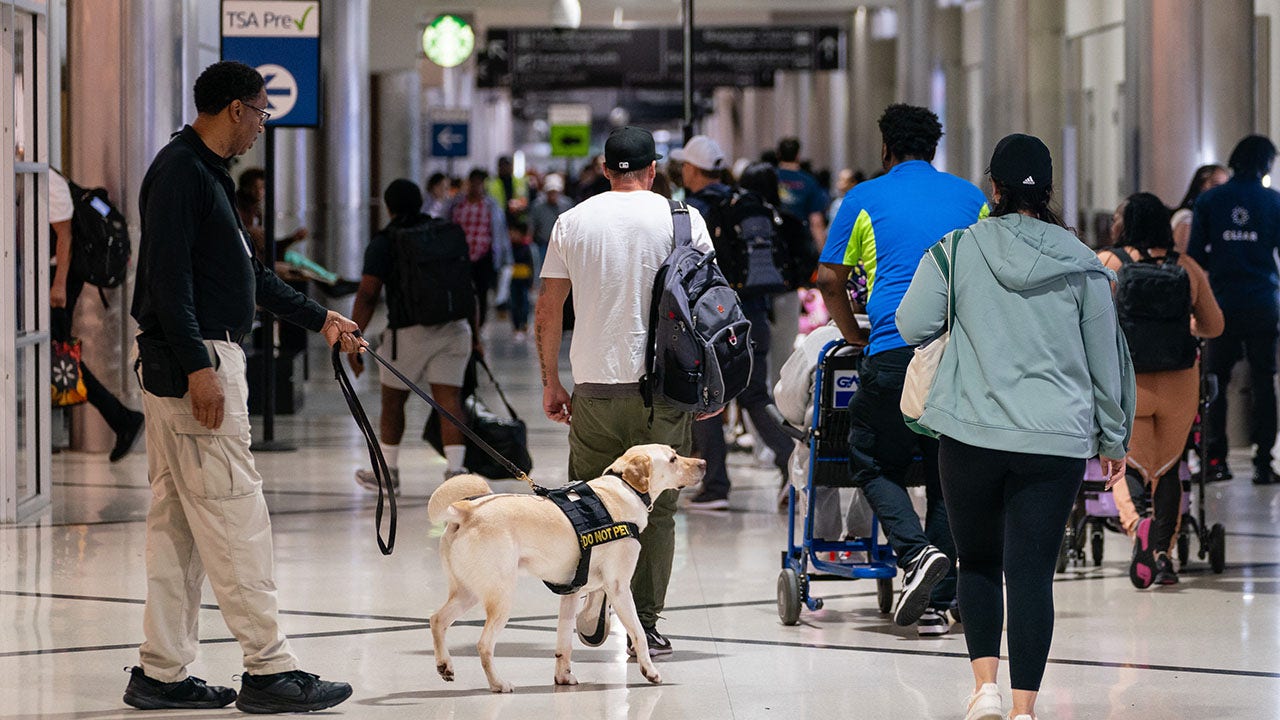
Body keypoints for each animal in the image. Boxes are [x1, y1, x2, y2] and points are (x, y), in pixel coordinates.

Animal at [424, 443, 706, 691]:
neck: (624, 490)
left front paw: (563, 677)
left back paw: (444, 664)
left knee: (437, 619)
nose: (703, 463)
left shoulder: (571, 592)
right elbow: (637, 632)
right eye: (673, 459)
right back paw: (498, 684)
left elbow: (564, 643)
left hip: (467, 592)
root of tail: (466, 510)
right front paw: (650, 671)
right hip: (501, 597)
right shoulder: (619, 589)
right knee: (483, 644)